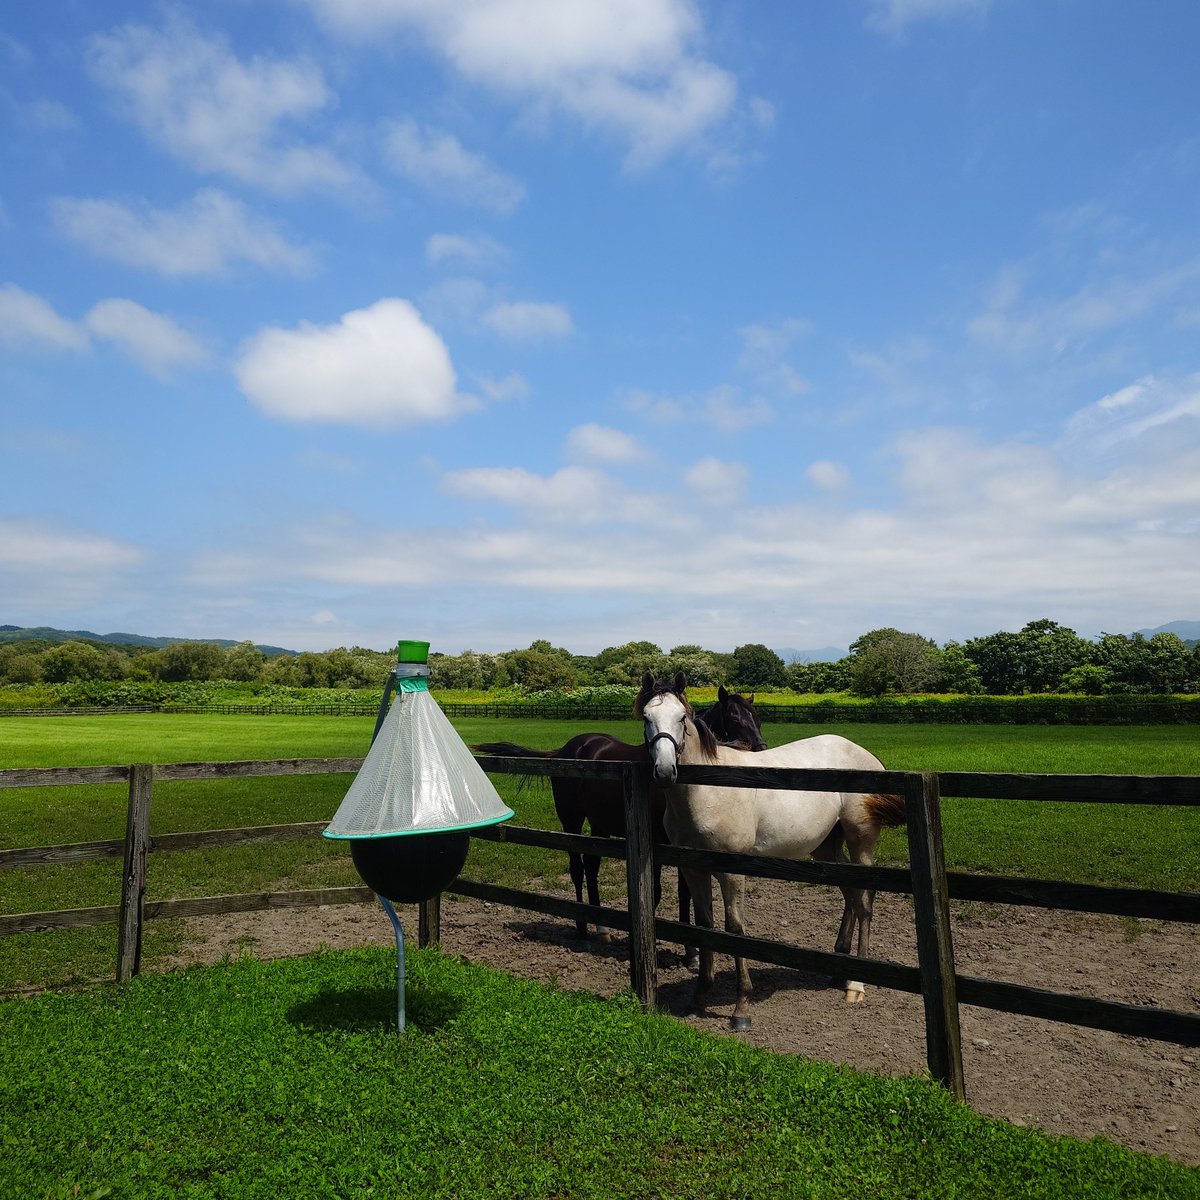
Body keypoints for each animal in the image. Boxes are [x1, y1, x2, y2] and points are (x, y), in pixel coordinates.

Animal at [472, 686, 766, 954]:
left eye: (758, 717)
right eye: (736, 720)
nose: (761, 750)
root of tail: (568, 749)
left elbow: (686, 892)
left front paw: (690, 950)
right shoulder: (657, 843)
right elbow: (658, 891)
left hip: (599, 826)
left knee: (591, 867)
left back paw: (602, 929)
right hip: (571, 822)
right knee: (577, 869)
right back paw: (582, 930)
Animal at [635, 670, 904, 1030]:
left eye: (681, 718)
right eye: (646, 717)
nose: (665, 772)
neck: (708, 790)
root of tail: (867, 755)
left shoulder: (731, 871)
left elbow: (734, 929)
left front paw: (741, 1009)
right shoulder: (693, 868)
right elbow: (705, 927)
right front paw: (698, 998)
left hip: (860, 838)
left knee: (863, 902)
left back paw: (856, 985)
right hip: (827, 847)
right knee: (849, 895)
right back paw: (839, 971)